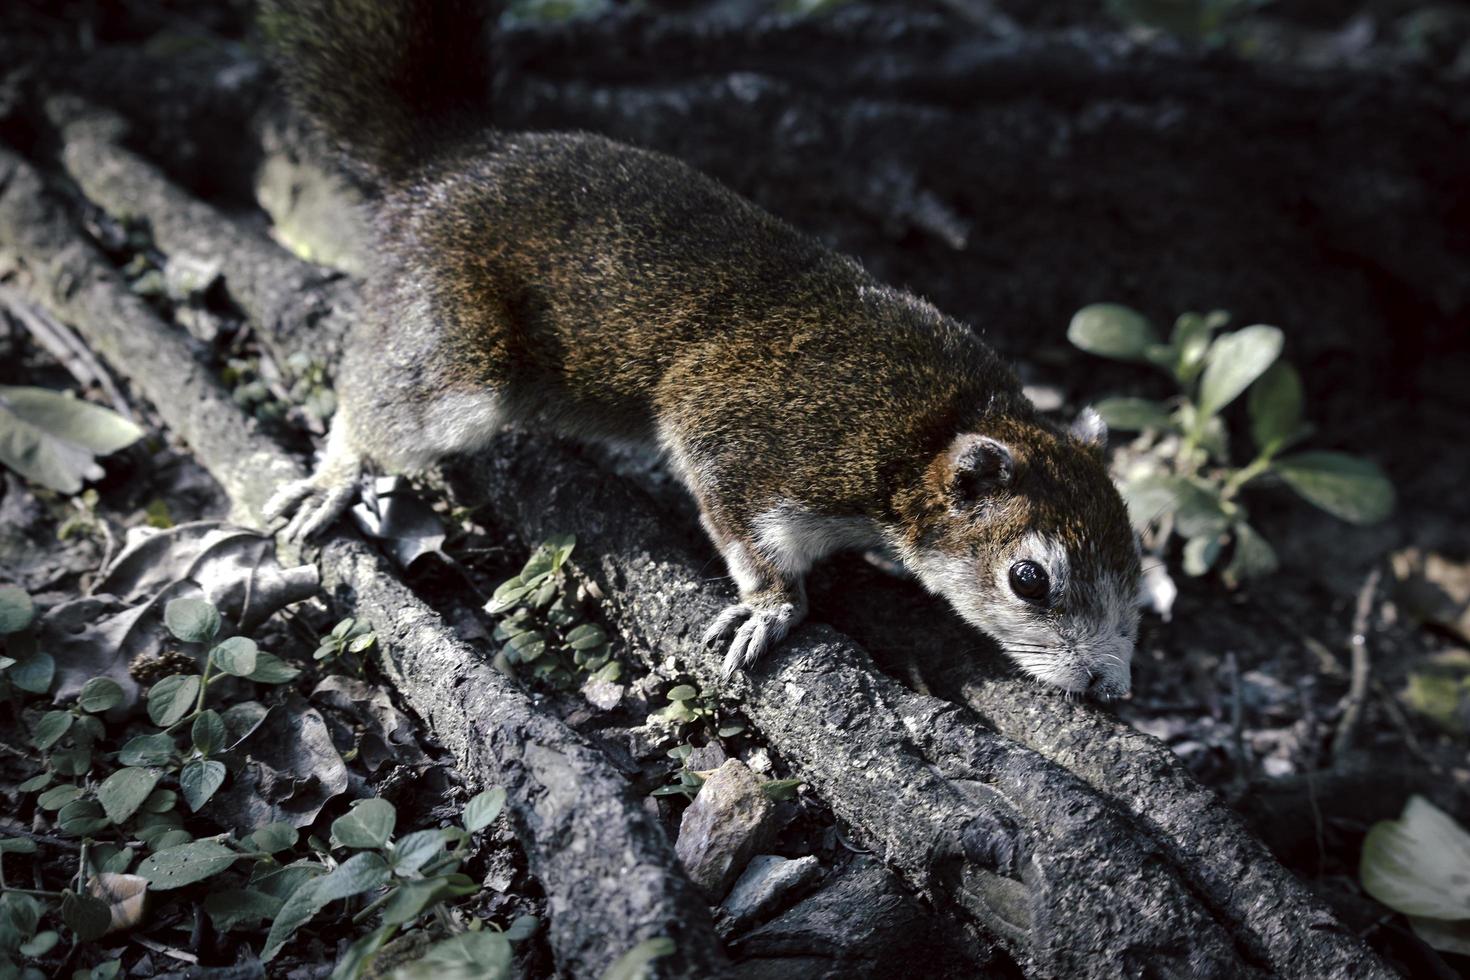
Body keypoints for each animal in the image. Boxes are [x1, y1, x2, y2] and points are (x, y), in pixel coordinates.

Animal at [258, 0, 1140, 696]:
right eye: (1029, 580)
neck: (934, 430)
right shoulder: (753, 437)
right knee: (383, 401)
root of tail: (446, 164)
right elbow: (746, 530)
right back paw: (335, 474)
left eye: (1136, 560)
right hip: (457, 352)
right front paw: (771, 609)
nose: (1109, 686)